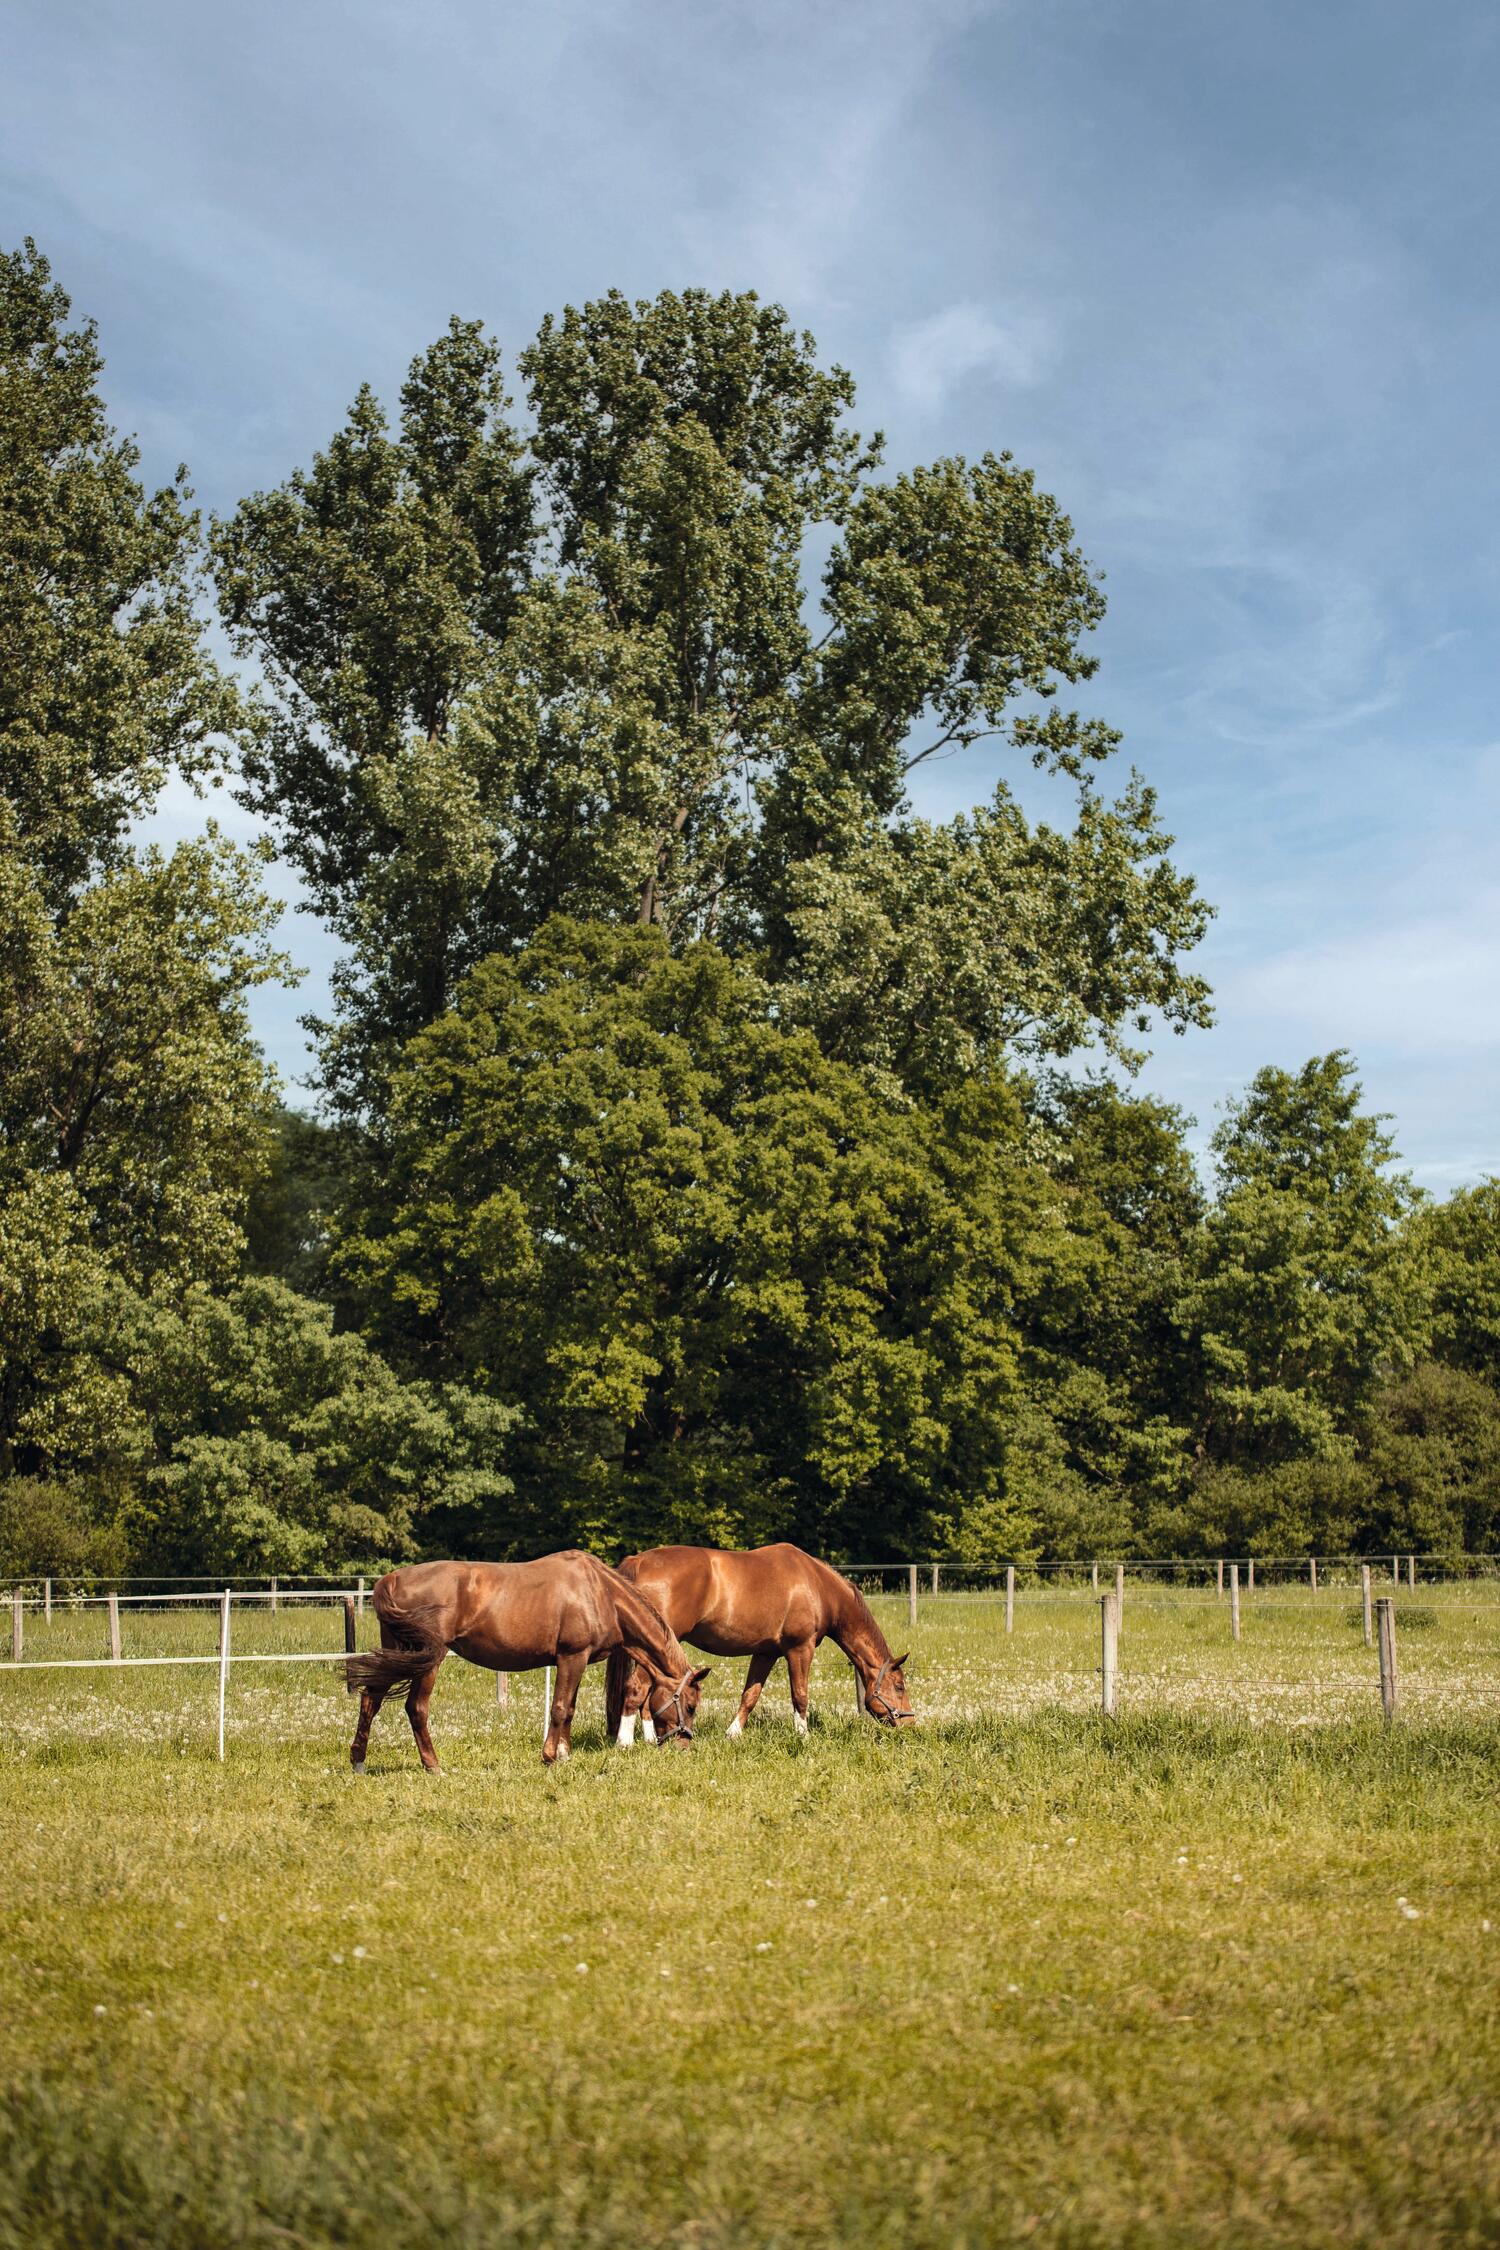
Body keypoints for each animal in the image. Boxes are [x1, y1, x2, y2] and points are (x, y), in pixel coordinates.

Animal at [348, 1557, 715, 1764]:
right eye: (691, 1705)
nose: (684, 1745)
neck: (601, 1592)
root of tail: (391, 1579)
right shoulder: (572, 1657)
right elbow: (561, 1708)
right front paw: (551, 1756)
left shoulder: (576, 1661)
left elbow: (570, 1708)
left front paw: (564, 1754)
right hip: (428, 1659)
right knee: (416, 1708)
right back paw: (433, 1765)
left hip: (400, 1653)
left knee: (370, 1699)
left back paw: (358, 1761)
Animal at [602, 1548, 917, 1737]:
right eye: (900, 1686)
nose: (910, 1723)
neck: (817, 1585)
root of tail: (639, 1561)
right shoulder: (799, 1649)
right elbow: (800, 1695)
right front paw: (803, 1737)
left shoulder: (766, 1653)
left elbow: (750, 1695)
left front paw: (733, 1734)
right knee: (636, 1689)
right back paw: (626, 1744)